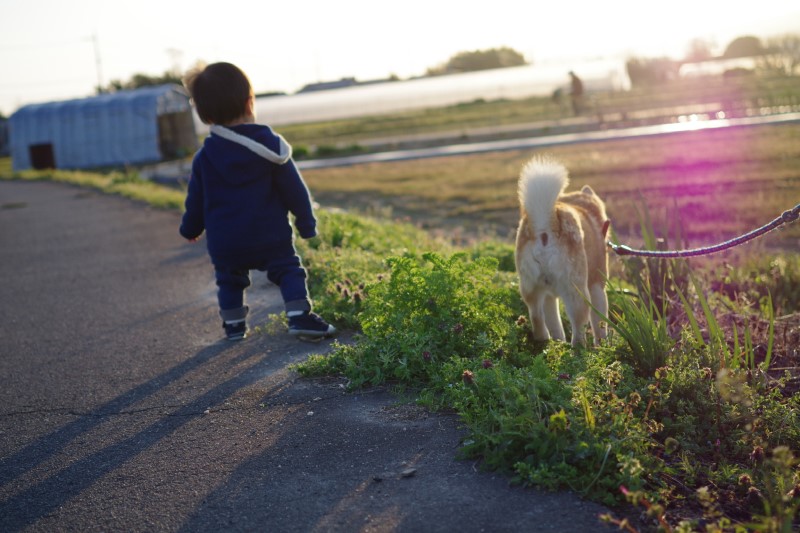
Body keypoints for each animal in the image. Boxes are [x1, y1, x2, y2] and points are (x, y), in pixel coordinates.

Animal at [516, 155, 608, 344]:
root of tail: (545, 226)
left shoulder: (549, 296)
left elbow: (555, 323)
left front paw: (558, 341)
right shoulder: (597, 285)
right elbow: (600, 324)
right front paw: (604, 346)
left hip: (532, 289)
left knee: (537, 318)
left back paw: (547, 343)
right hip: (577, 293)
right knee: (579, 331)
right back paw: (579, 348)